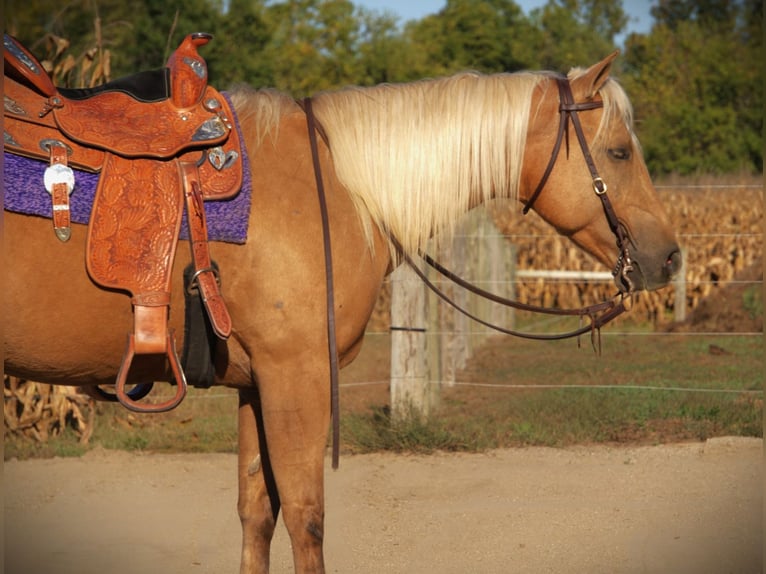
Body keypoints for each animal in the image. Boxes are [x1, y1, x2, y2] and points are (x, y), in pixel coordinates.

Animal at [4, 51, 681, 573]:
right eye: (619, 152)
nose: (670, 258)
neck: (340, 186)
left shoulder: (257, 384)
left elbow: (258, 514)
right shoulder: (297, 377)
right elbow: (307, 519)